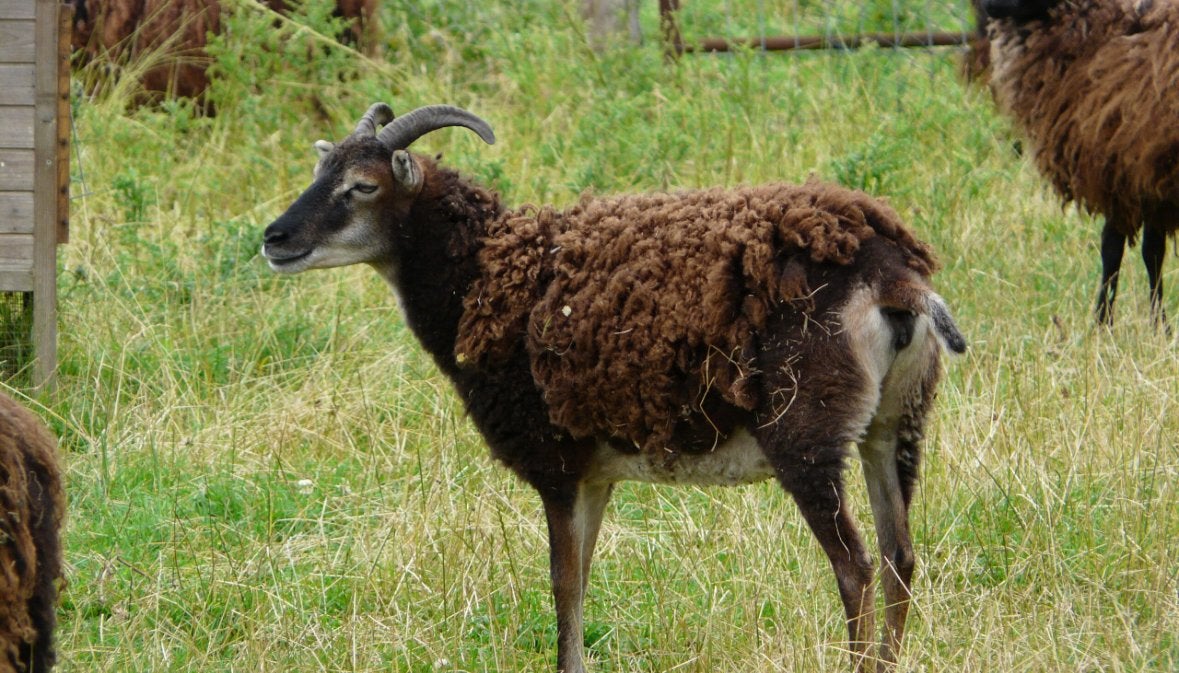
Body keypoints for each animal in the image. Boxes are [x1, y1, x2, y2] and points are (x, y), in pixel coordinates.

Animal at [260, 102, 966, 673]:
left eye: (362, 186)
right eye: (320, 172)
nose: (274, 239)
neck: (490, 272)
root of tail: (895, 277)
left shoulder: (556, 463)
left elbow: (563, 584)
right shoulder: (596, 473)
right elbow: (582, 577)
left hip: (807, 438)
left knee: (856, 567)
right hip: (893, 426)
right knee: (900, 556)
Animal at [981, 0, 1179, 325]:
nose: (989, 8)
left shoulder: (1119, 169)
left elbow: (1116, 248)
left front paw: (1103, 322)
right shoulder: (1147, 179)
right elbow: (1153, 250)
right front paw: (1156, 324)